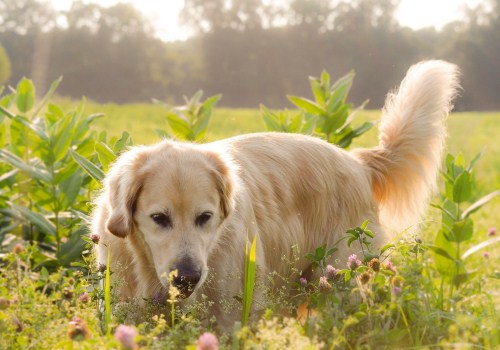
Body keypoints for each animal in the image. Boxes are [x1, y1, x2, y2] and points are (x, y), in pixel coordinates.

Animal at [92, 59, 458, 326]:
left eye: (205, 217)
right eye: (159, 218)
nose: (188, 278)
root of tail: (357, 161)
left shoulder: (230, 316)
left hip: (344, 280)